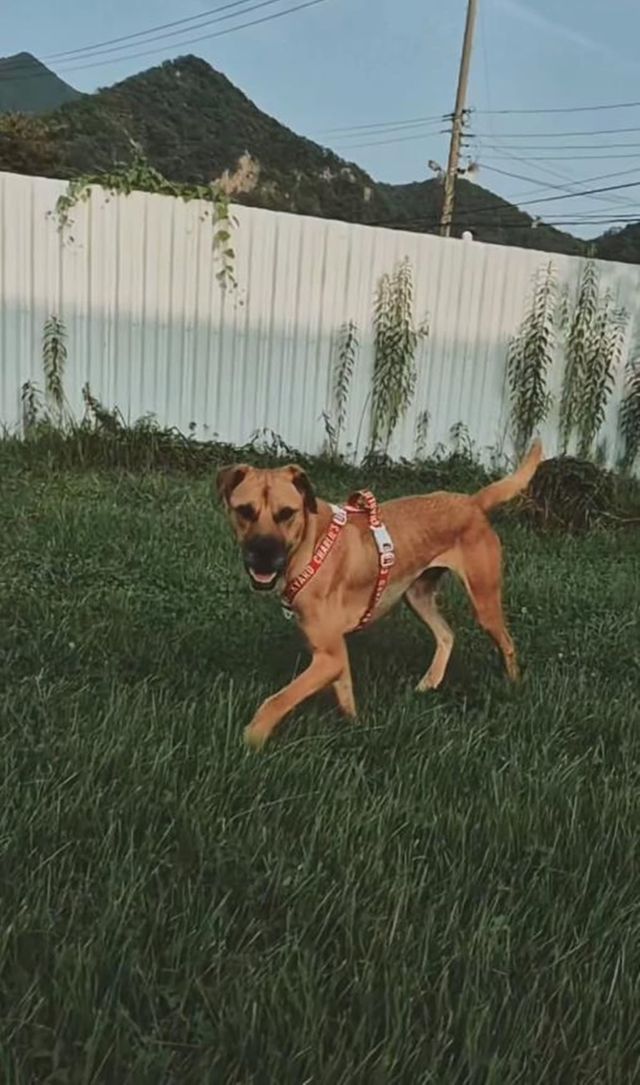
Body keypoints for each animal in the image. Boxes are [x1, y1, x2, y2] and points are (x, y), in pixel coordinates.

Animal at [217, 441, 542, 748]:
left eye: (286, 513)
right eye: (244, 511)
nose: (262, 556)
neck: (311, 545)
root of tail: (472, 503)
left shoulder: (328, 657)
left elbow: (277, 700)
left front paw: (253, 738)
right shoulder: (334, 654)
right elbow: (345, 694)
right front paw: (355, 728)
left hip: (483, 601)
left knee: (507, 644)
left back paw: (513, 686)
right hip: (417, 596)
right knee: (446, 634)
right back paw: (429, 682)